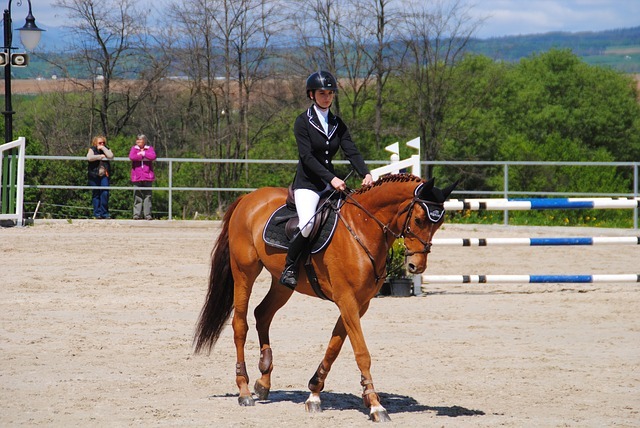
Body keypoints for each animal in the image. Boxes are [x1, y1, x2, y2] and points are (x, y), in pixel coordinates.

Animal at [193, 173, 457, 422]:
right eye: (419, 220)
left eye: (440, 223)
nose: (416, 266)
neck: (362, 227)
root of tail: (248, 198)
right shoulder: (347, 300)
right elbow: (362, 353)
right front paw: (375, 405)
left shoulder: (359, 304)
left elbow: (334, 347)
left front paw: (314, 394)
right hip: (244, 272)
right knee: (240, 324)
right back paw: (245, 390)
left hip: (282, 283)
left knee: (263, 314)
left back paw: (264, 380)